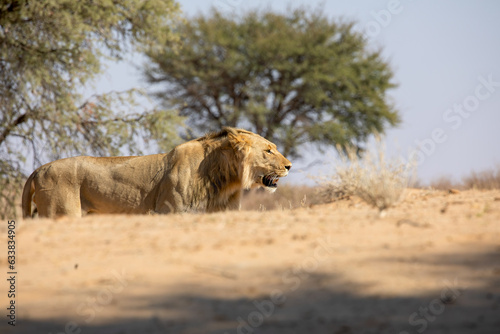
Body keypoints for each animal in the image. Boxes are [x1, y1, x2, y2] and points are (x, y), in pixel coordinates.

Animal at [21, 126, 292, 218]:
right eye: (269, 151)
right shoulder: (169, 211)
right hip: (61, 212)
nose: (289, 166)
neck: (225, 179)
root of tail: (37, 170)